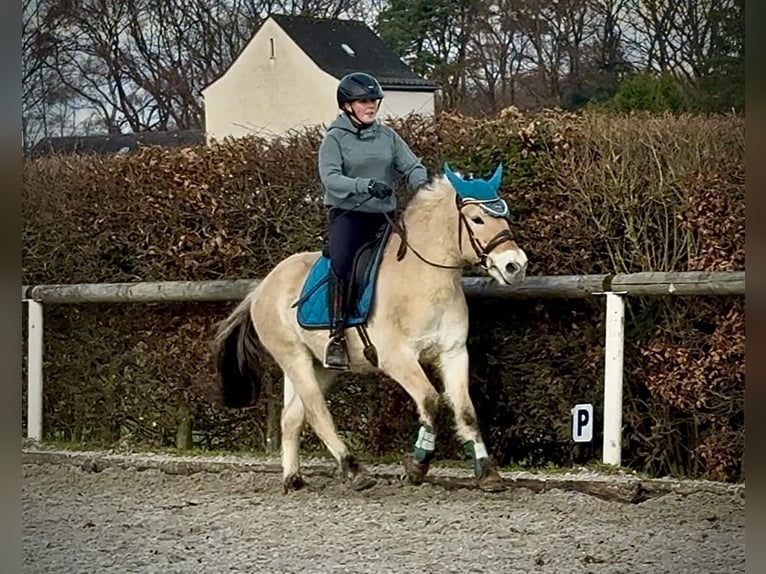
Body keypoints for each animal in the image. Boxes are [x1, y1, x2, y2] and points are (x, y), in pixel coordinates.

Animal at [213, 163, 528, 492]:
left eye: (504, 215)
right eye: (477, 218)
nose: (516, 266)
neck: (424, 280)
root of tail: (262, 287)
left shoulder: (453, 354)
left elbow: (466, 412)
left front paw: (487, 473)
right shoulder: (397, 358)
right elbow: (431, 401)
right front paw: (417, 465)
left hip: (320, 364)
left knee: (292, 416)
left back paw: (293, 478)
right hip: (292, 356)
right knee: (316, 411)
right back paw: (354, 470)